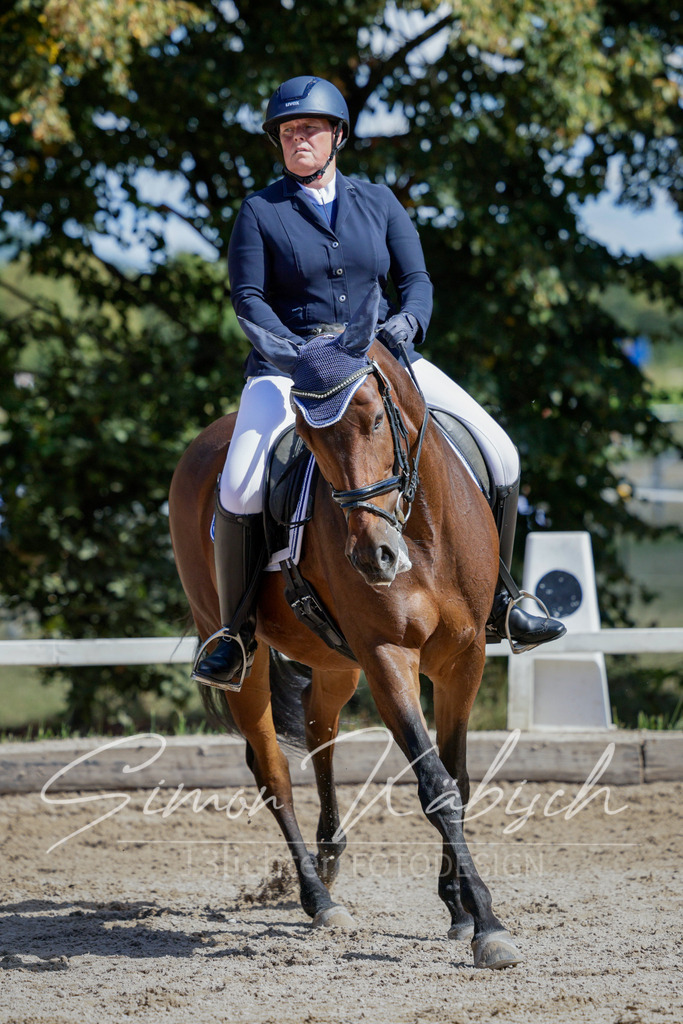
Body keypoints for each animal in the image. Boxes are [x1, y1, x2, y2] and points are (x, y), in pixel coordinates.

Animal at [168, 287, 523, 970]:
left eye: (377, 419)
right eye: (307, 434)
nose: (374, 558)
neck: (422, 531)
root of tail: (206, 441)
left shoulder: (464, 658)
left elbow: (460, 777)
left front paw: (460, 909)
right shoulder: (387, 656)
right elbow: (436, 784)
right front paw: (488, 925)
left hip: (335, 660)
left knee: (320, 734)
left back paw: (331, 859)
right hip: (244, 647)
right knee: (273, 770)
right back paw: (317, 897)